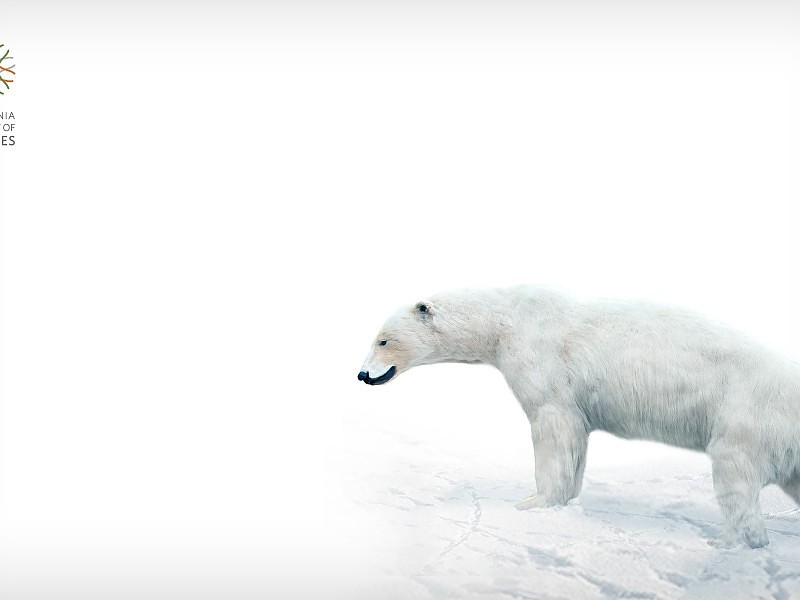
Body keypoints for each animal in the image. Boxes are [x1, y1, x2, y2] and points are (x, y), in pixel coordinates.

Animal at [357, 285, 800, 548]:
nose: (362, 375)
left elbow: (554, 425)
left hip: (746, 415)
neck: (507, 319)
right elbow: (576, 439)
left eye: (383, 340)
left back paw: (729, 540)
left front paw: (534, 502)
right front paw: (564, 500)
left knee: (734, 473)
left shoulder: (541, 362)